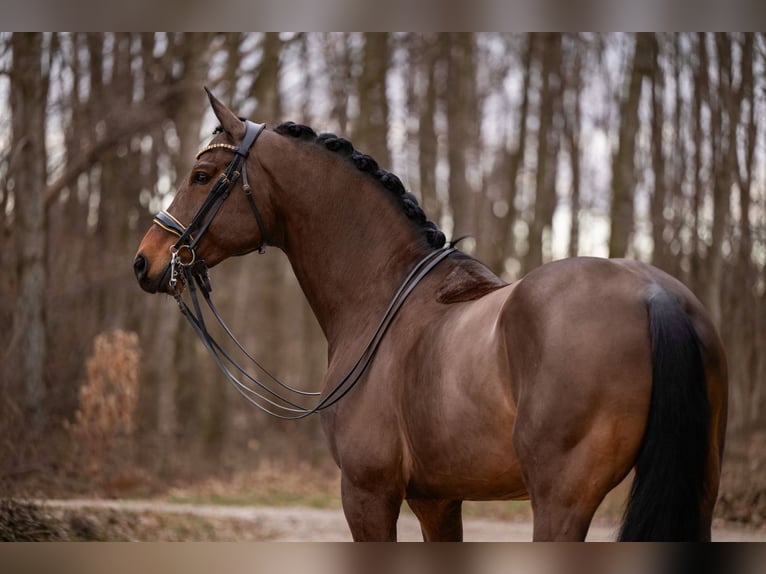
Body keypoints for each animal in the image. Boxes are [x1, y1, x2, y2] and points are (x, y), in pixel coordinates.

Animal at [133, 89, 728, 541]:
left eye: (202, 175)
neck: (381, 296)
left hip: (560, 501)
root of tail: (654, 294)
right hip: (698, 490)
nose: (146, 261)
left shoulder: (368, 494)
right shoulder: (438, 500)